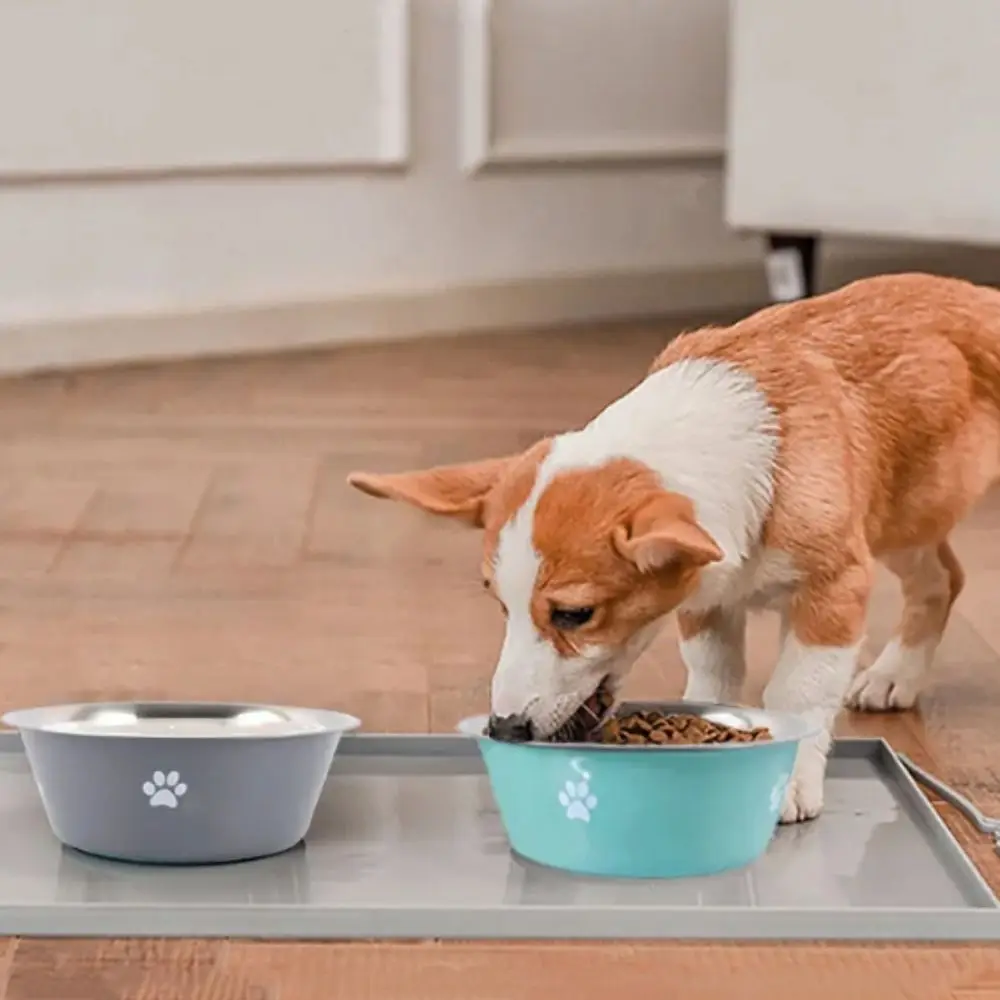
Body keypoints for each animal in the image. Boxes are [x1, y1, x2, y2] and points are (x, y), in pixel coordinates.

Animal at [348, 274, 1000, 820]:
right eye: (501, 607)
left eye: (575, 614)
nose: (505, 729)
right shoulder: (705, 598)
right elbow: (714, 676)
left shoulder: (835, 587)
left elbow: (798, 689)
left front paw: (790, 781)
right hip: (906, 518)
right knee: (944, 578)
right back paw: (895, 676)